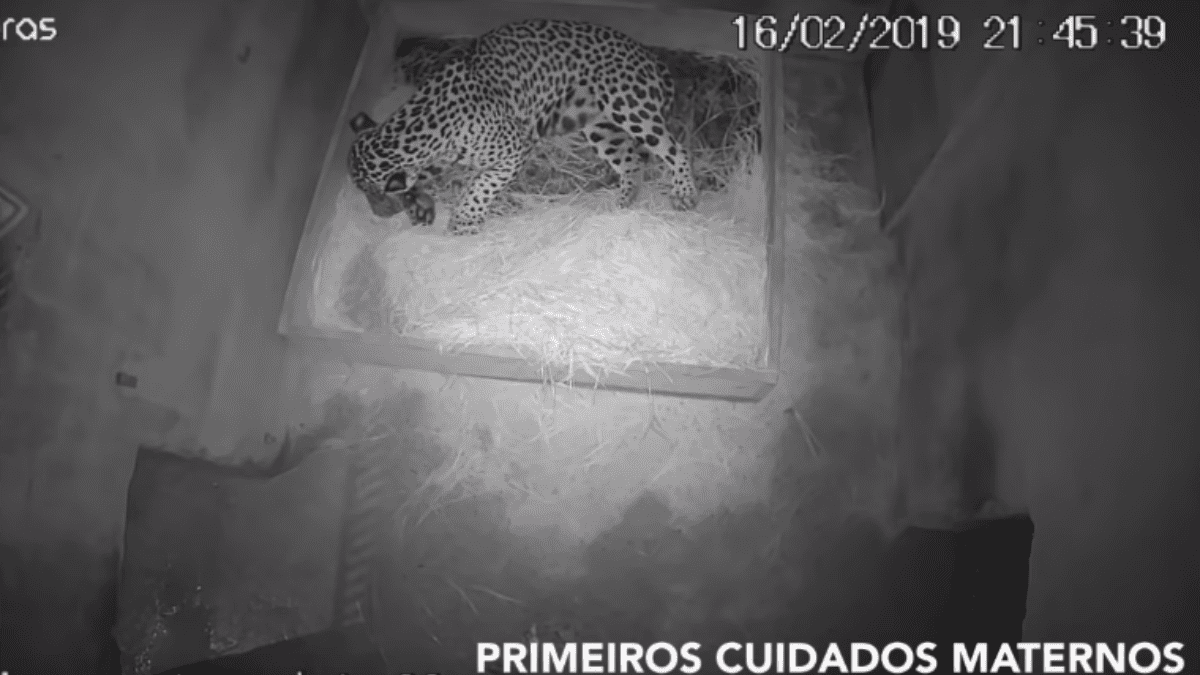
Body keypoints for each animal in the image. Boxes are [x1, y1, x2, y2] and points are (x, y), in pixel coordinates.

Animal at [346, 18, 699, 235]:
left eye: (375, 194)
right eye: (365, 194)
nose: (379, 215)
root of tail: (650, 56)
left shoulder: (514, 149)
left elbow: (481, 186)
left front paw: (464, 221)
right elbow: (421, 180)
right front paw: (420, 207)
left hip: (629, 105)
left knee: (675, 148)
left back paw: (685, 194)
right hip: (600, 127)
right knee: (631, 161)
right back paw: (624, 203)